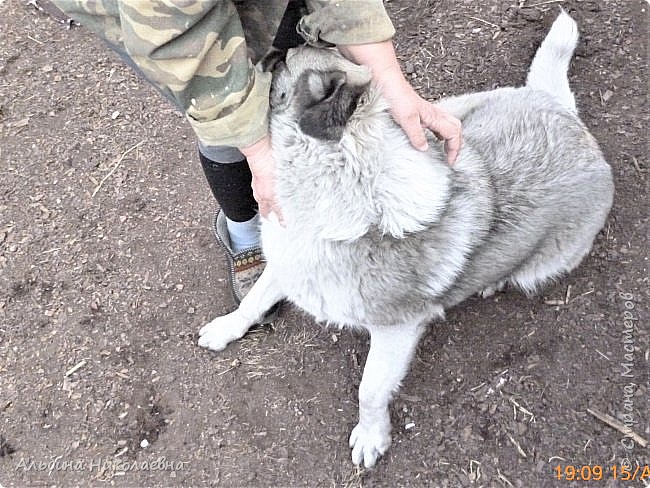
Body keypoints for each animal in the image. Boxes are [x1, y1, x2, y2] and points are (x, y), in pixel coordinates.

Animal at [197, 11, 612, 468]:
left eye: (282, 70)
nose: (284, 40)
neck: (344, 180)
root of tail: (566, 114)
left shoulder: (396, 330)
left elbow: (370, 389)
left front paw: (371, 435)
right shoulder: (288, 261)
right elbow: (253, 300)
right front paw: (227, 328)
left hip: (543, 262)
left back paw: (495, 282)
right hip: (455, 113)